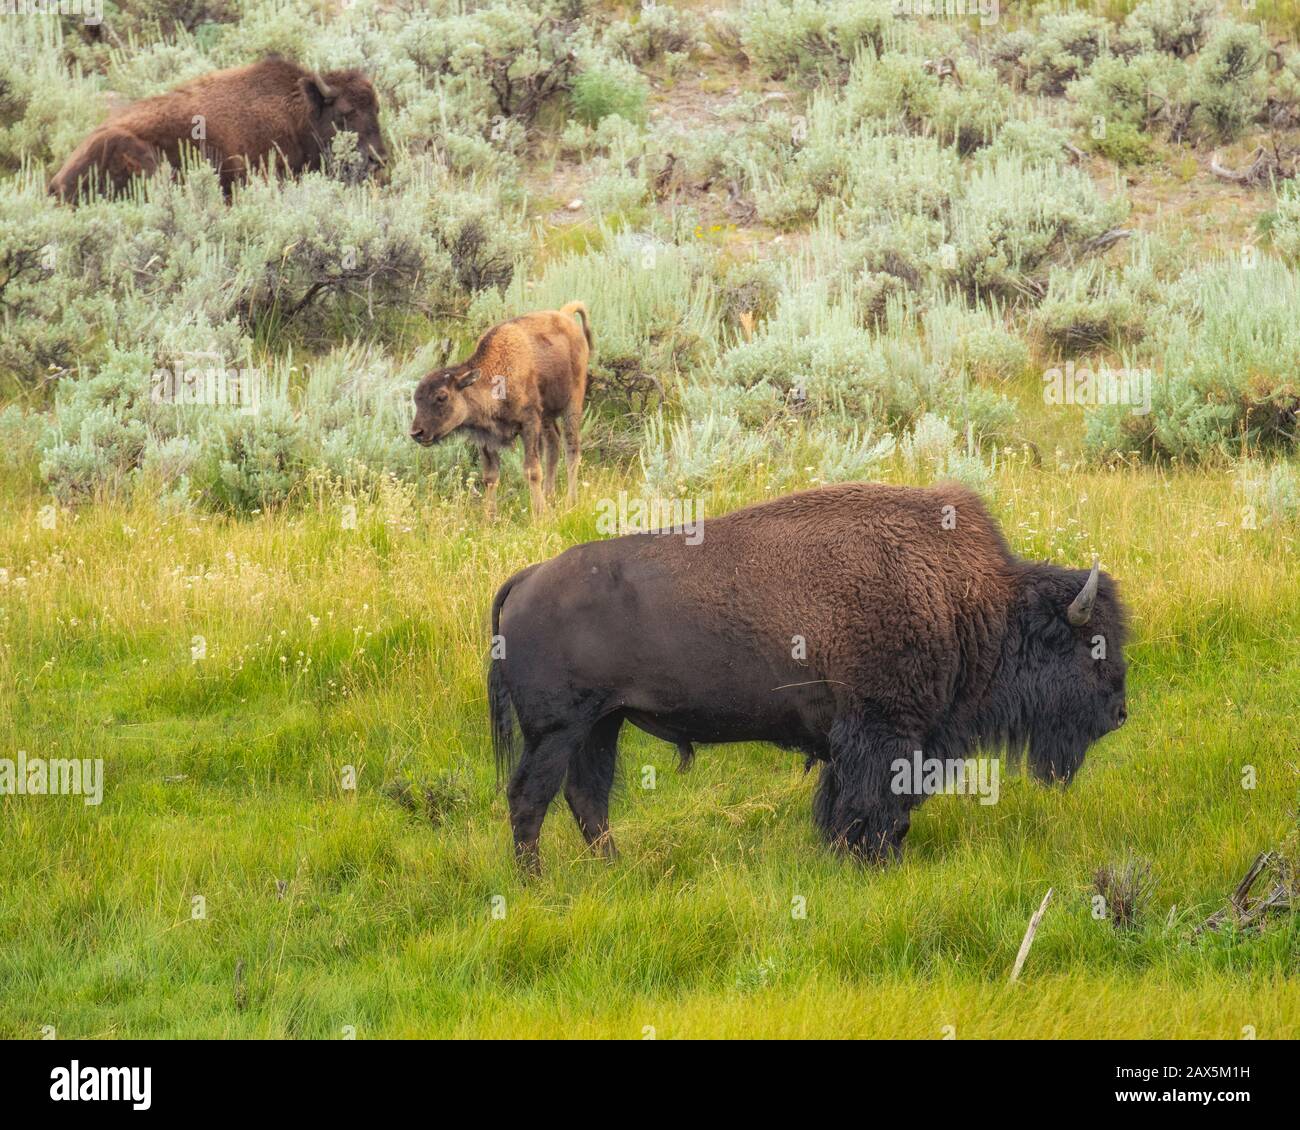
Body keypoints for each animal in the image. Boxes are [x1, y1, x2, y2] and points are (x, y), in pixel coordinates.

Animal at [488, 482, 1129, 873]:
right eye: (1089, 647)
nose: (1120, 713)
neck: (964, 601)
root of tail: (527, 577)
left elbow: (845, 801)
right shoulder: (886, 732)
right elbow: (877, 804)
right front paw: (877, 861)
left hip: (603, 724)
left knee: (587, 798)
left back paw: (614, 870)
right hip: (558, 730)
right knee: (530, 798)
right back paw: (536, 884)